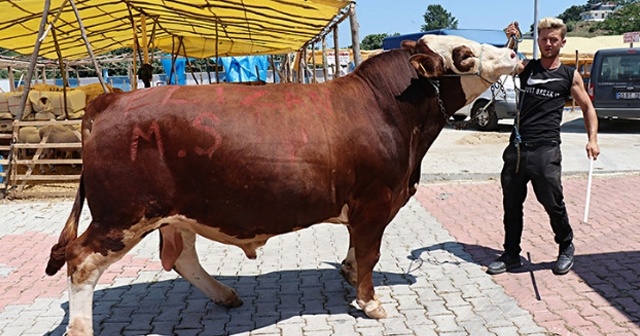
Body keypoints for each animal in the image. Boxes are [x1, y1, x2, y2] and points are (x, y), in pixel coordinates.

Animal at [47, 34, 516, 336]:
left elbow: (356, 250)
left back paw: (225, 295)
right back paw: (81, 328)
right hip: (122, 215)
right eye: (464, 53)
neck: (388, 107)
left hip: (175, 212)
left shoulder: (363, 206)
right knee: (81, 261)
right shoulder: (374, 200)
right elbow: (369, 252)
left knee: (180, 256)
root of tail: (113, 98)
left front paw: (347, 274)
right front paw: (371, 301)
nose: (514, 50)